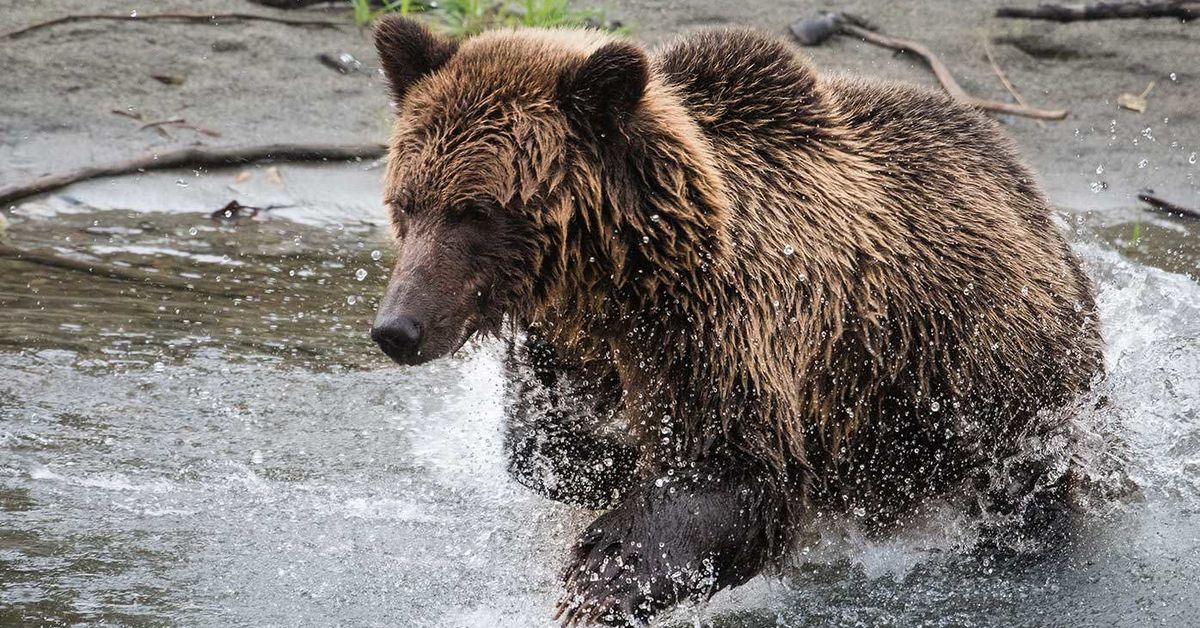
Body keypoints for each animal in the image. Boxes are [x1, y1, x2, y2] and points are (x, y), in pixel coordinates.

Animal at [367, 17, 1103, 627]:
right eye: (407, 202)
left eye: (476, 210)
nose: (397, 328)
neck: (620, 272)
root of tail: (1032, 197)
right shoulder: (577, 342)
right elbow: (547, 446)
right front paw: (607, 465)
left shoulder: (727, 322)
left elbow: (738, 472)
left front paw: (601, 575)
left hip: (994, 380)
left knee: (1028, 485)